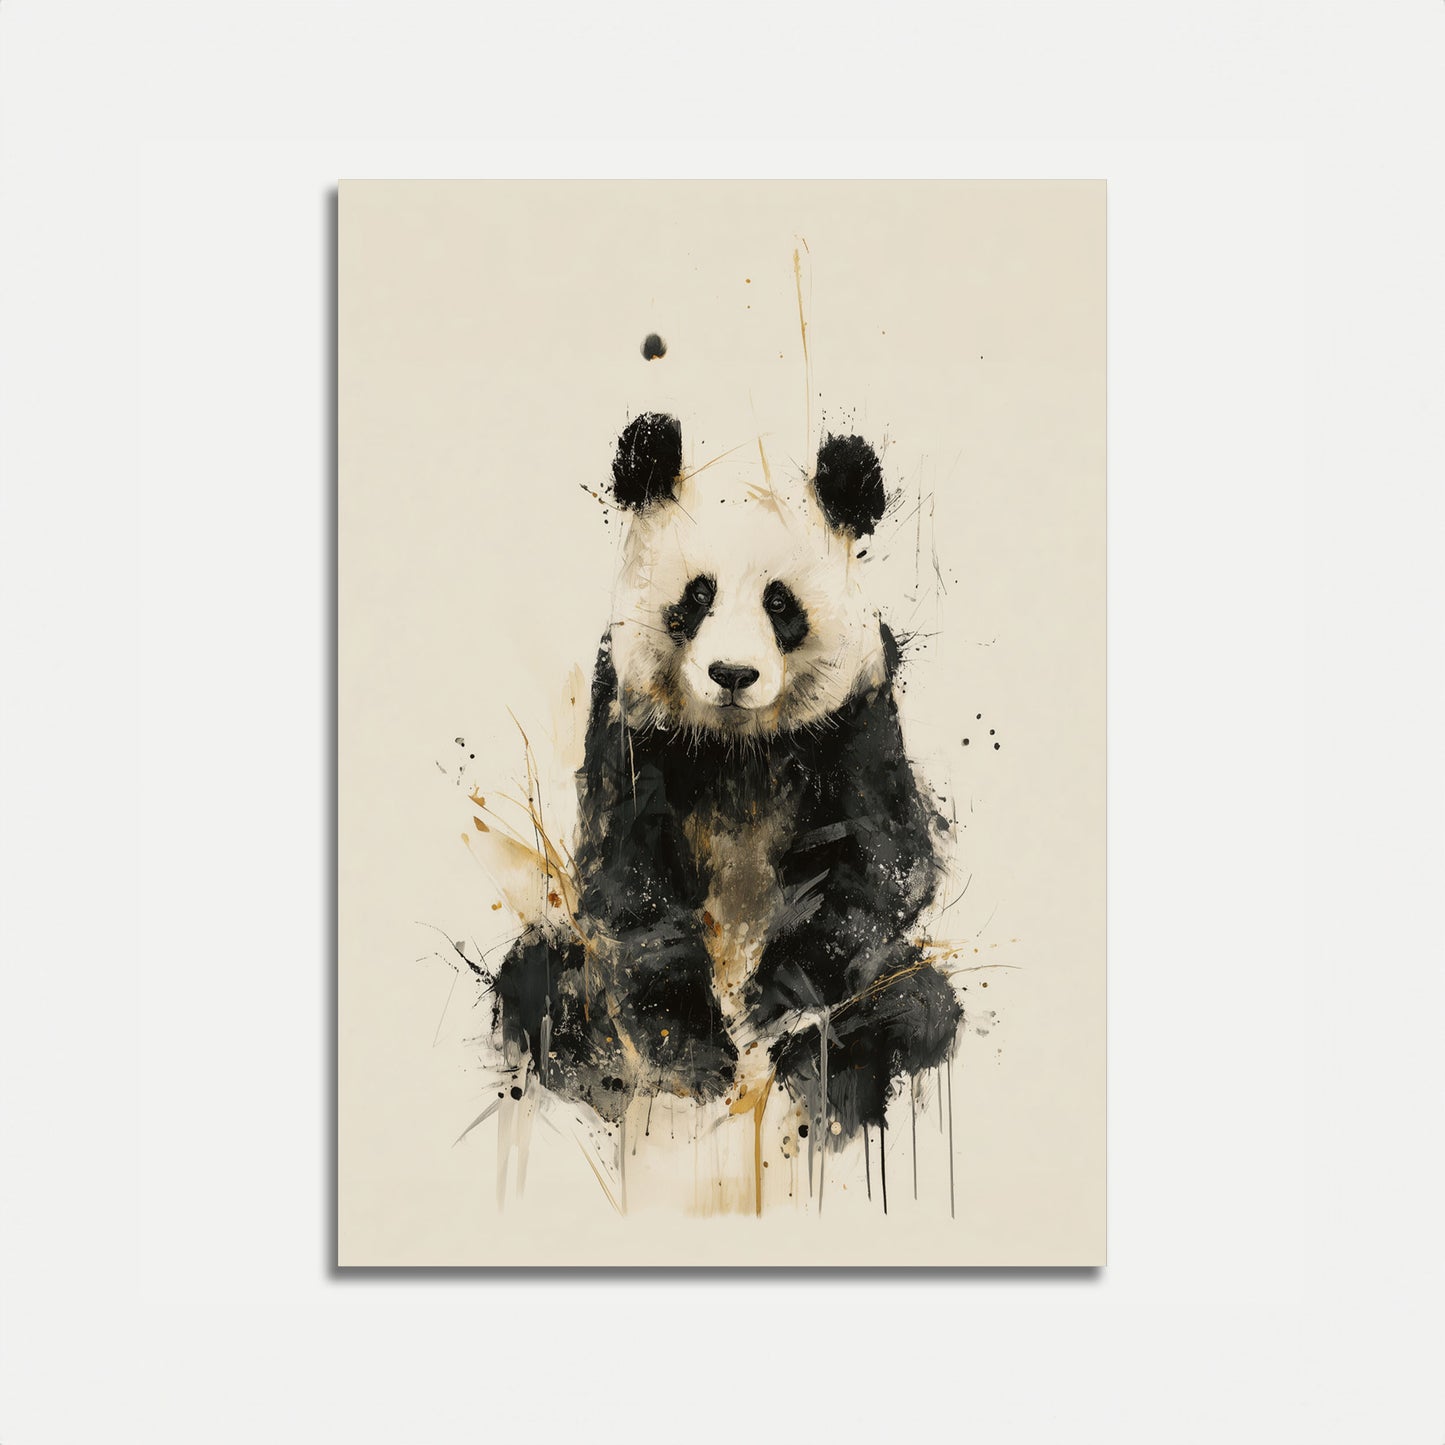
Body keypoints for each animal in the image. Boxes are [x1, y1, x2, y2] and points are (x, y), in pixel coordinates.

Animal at [492, 411, 961, 1144]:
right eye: (698, 595)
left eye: (780, 603)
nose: (733, 674)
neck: (739, 744)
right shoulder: (633, 731)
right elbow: (632, 890)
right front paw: (691, 1053)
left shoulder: (856, 723)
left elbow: (880, 864)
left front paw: (778, 999)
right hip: (573, 977)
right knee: (541, 980)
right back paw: (598, 1071)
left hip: (890, 982)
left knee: (914, 1007)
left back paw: (828, 1078)